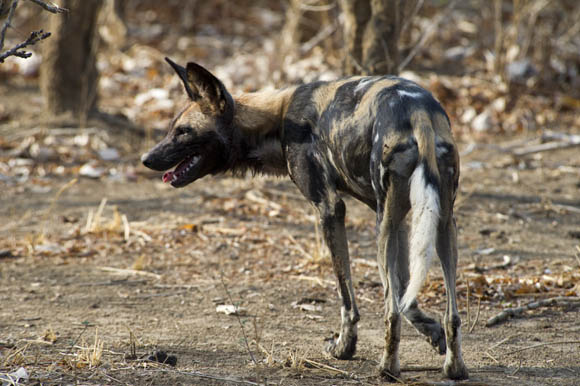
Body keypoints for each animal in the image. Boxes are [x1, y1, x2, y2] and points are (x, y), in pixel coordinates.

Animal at [143, 58, 468, 380]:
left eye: (183, 131)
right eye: (171, 128)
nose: (146, 159)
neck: (277, 120)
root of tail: (417, 110)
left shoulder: (330, 208)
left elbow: (349, 297)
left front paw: (344, 347)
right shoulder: (396, 217)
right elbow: (404, 294)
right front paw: (433, 334)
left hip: (383, 229)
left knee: (389, 312)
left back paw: (388, 369)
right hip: (438, 223)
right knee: (450, 313)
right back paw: (454, 367)